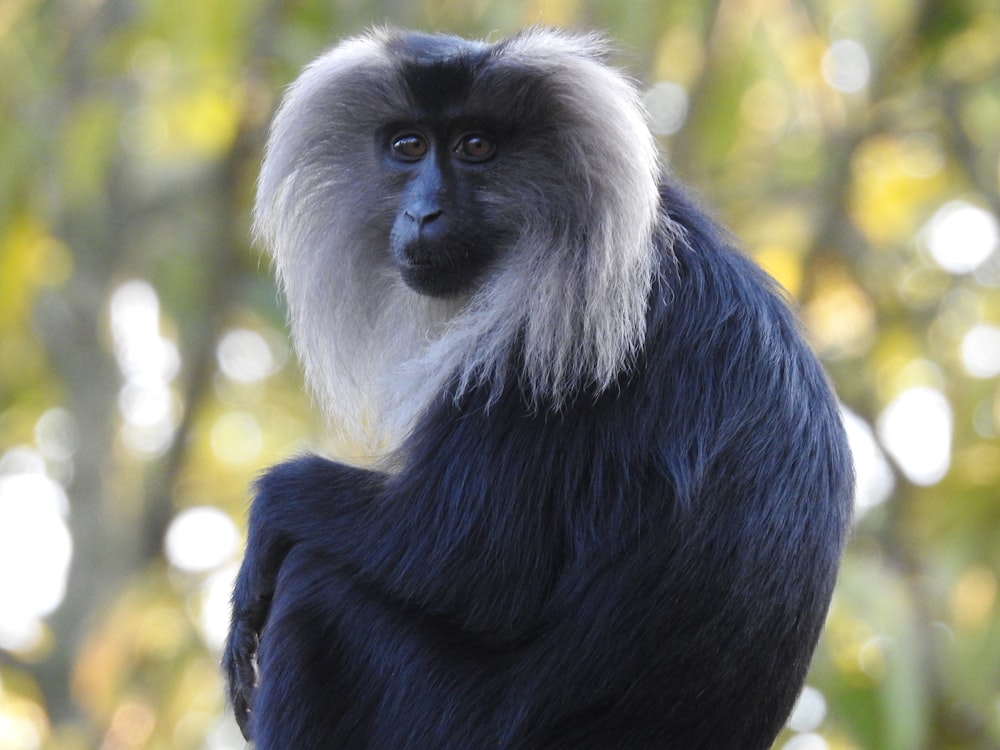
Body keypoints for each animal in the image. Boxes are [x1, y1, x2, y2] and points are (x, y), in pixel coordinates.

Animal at [225, 27, 852, 750]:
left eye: (476, 147)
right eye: (408, 146)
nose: (423, 213)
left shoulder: (544, 341)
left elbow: (467, 562)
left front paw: (266, 526)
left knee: (317, 595)